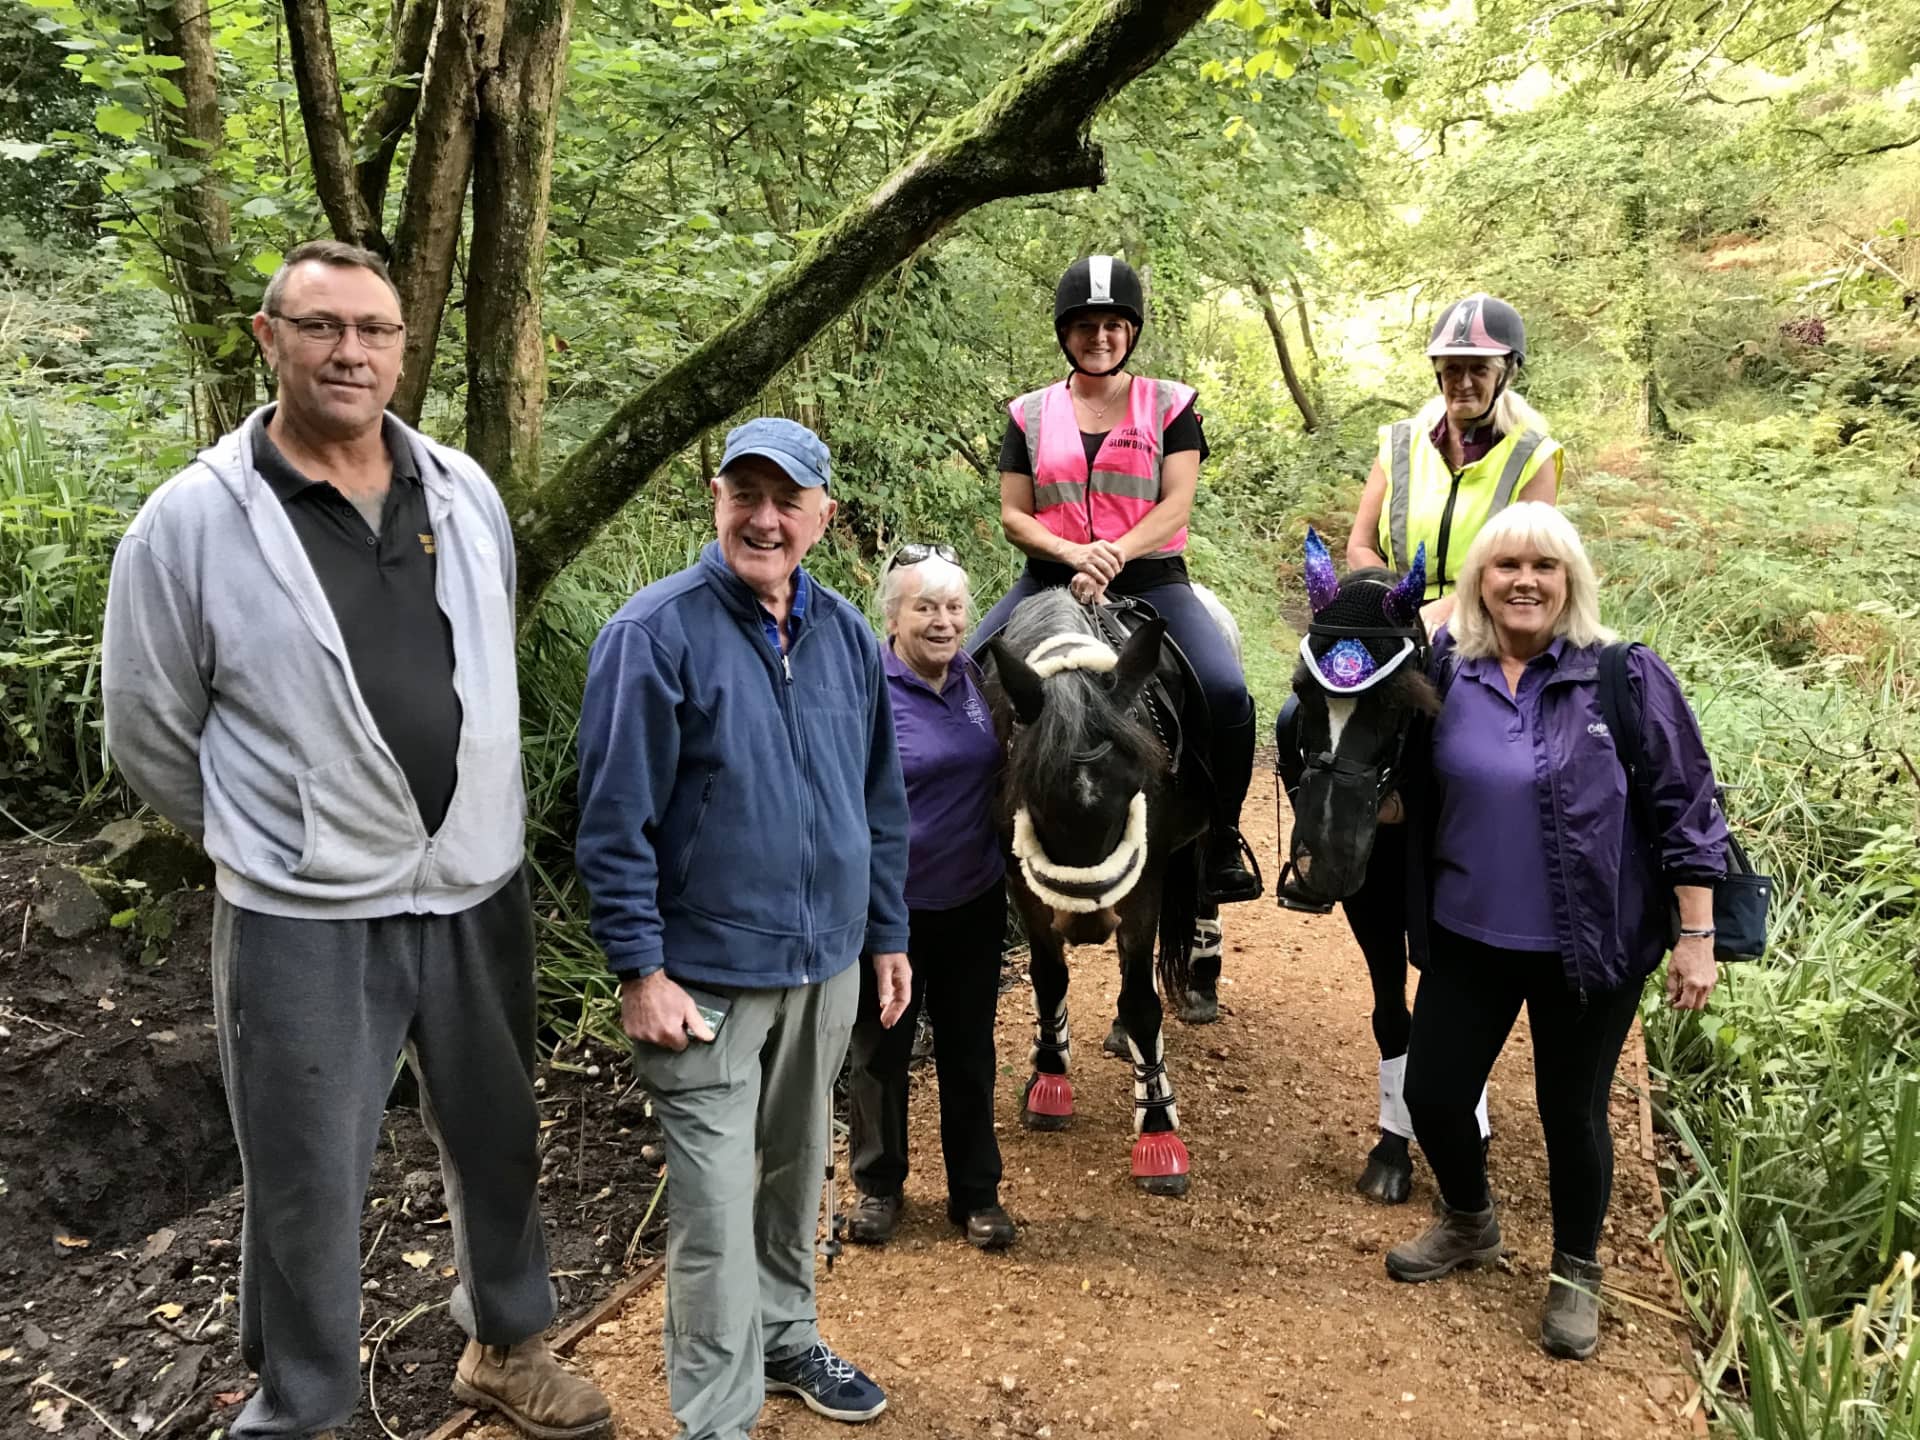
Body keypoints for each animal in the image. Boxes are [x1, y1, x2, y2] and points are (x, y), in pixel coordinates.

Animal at [983, 591, 1205, 1198]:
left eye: (1134, 787)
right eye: (1031, 793)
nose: (1086, 925)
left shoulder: (1144, 889)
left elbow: (1142, 1003)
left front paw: (1157, 1129)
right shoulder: (1022, 888)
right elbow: (1048, 980)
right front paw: (1048, 1079)